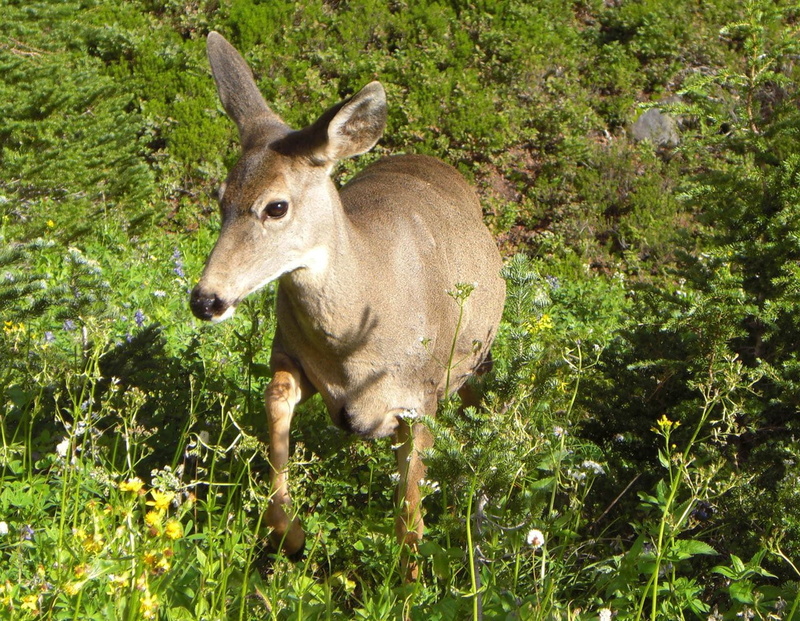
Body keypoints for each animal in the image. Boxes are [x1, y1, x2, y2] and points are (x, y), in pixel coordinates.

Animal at [190, 32, 506, 569]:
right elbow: (276, 397)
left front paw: (411, 575)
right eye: (220, 198)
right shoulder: (290, 353)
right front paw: (289, 532)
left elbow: (410, 504)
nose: (206, 299)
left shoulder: (419, 396)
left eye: (277, 206)